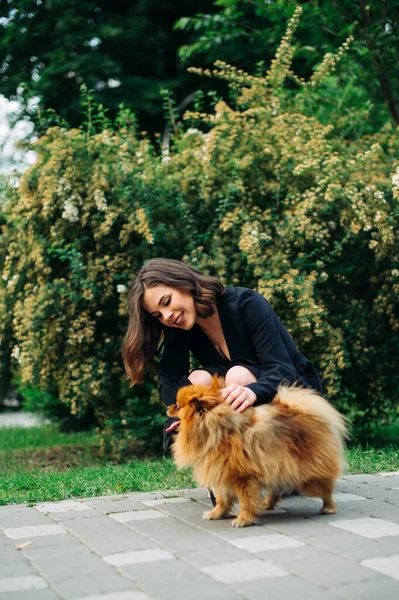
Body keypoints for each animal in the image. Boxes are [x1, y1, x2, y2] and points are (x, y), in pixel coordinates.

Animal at [167, 378, 348, 528]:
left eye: (177, 406)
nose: (168, 407)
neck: (217, 430)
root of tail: (307, 413)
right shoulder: (220, 471)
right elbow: (222, 499)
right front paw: (216, 513)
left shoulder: (243, 477)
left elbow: (245, 501)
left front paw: (243, 519)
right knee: (275, 489)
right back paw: (267, 504)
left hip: (308, 475)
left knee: (325, 490)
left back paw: (328, 508)